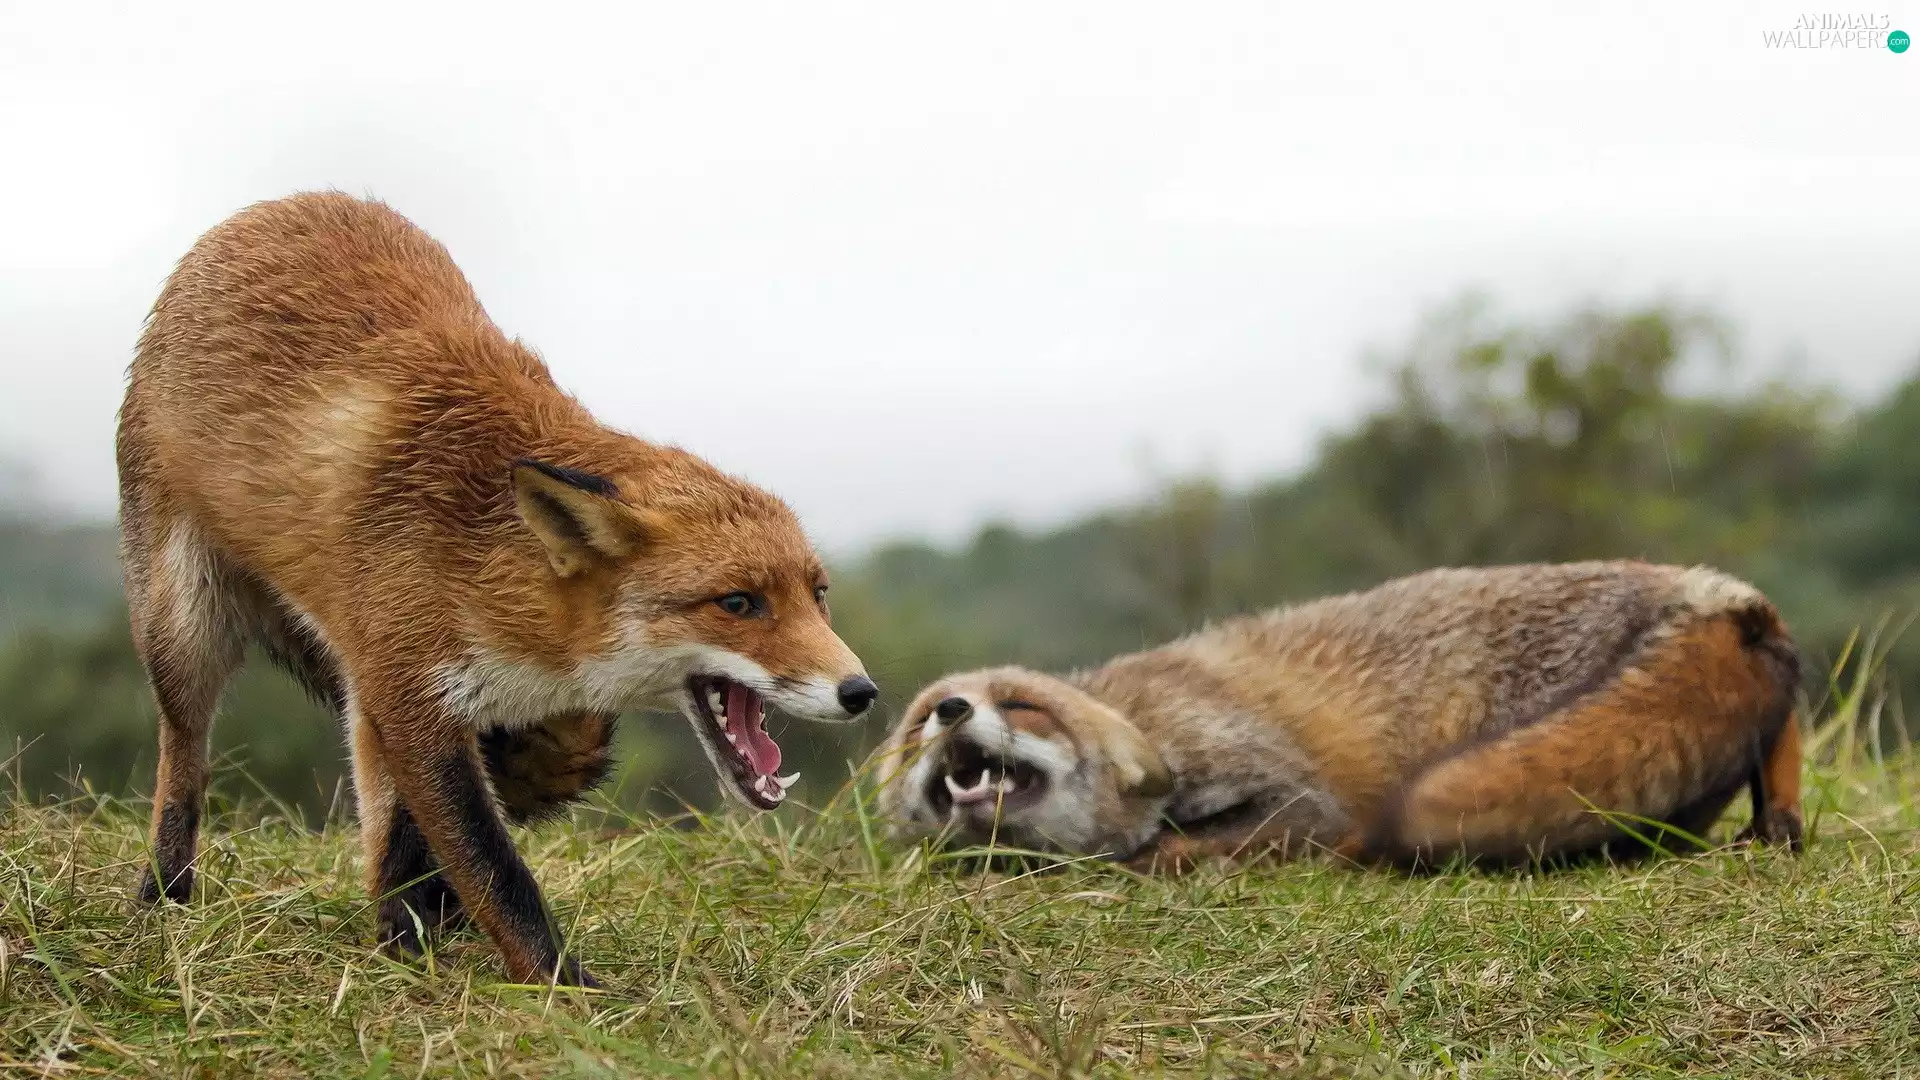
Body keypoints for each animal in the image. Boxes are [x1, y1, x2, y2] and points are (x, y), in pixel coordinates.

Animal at [117, 191, 878, 987]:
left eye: (818, 594)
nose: (861, 692)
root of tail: (260, 211)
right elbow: (493, 866)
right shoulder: (409, 692)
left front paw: (415, 937)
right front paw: (560, 983)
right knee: (184, 757)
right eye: (738, 603)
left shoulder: (404, 694)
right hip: (183, 630)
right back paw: (165, 894)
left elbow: (415, 836)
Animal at [875, 561, 1804, 872]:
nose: (952, 711)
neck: (1147, 721)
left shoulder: (1284, 788)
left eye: (1021, 704)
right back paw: (1778, 823)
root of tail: (1721, 592)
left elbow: (1169, 850)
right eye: (921, 723)